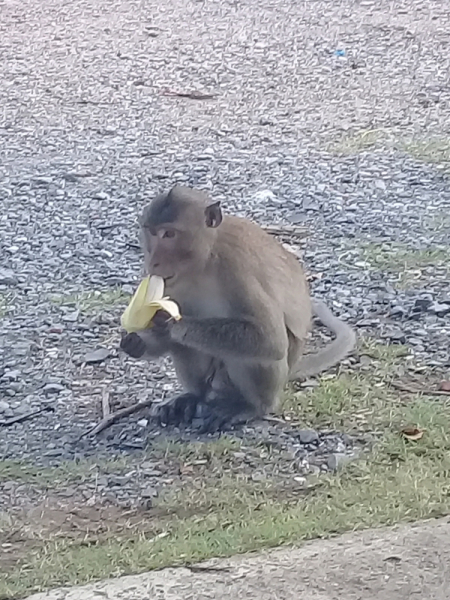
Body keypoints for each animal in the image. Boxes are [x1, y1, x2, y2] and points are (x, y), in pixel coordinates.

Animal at [120, 184, 356, 432]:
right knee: (186, 348)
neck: (203, 262)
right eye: (151, 233)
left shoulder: (237, 268)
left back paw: (251, 407)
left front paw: (172, 324)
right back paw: (193, 396)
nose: (153, 261)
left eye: (169, 234)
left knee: (253, 356)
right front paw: (136, 342)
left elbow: (270, 339)